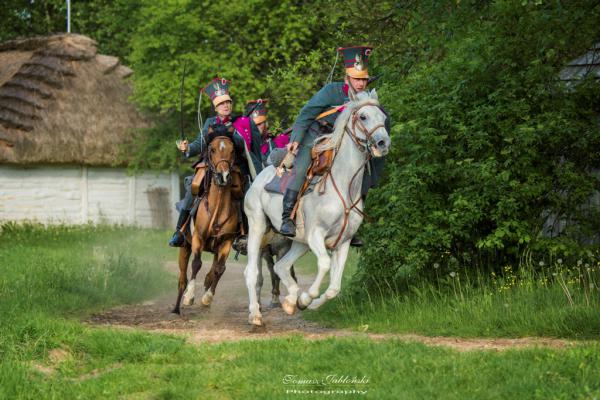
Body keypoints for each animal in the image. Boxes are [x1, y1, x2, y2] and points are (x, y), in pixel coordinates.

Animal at [171, 129, 241, 316]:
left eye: (232, 150)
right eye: (212, 149)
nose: (223, 176)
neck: (217, 207)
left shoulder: (226, 241)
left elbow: (219, 269)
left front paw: (207, 298)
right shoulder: (198, 238)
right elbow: (196, 264)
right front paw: (189, 297)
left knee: (212, 272)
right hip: (184, 247)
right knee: (182, 278)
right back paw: (176, 308)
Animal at [243, 90, 390, 324]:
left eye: (383, 118)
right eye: (363, 116)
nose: (383, 143)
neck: (342, 186)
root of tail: (260, 176)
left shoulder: (343, 242)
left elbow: (334, 288)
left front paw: (306, 303)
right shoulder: (316, 235)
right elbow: (324, 264)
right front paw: (305, 298)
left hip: (298, 242)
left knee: (281, 266)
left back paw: (289, 301)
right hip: (258, 227)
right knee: (251, 273)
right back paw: (256, 314)